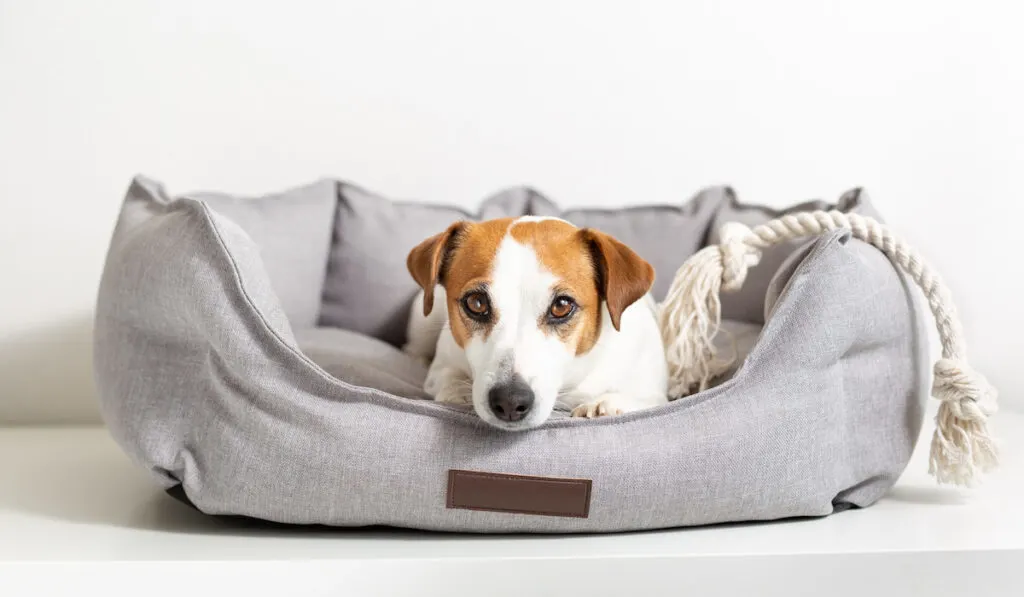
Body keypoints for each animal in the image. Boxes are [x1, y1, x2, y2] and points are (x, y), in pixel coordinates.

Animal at [403, 215, 667, 430]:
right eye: (476, 303)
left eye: (562, 306)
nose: (510, 401)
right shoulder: (442, 364)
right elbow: (447, 377)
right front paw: (457, 392)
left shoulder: (654, 391)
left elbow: (643, 399)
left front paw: (606, 404)